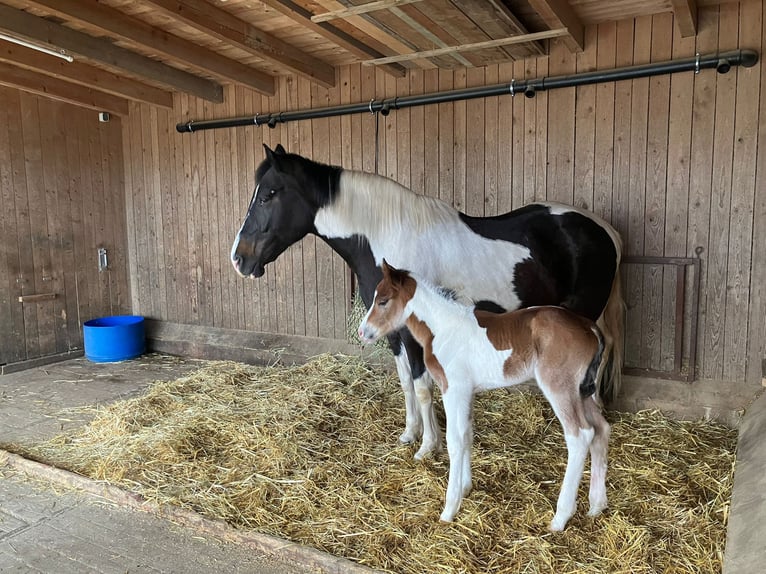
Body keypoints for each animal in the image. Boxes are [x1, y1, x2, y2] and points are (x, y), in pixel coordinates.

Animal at [232, 145, 624, 464]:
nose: (238, 259)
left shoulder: (415, 334)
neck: (386, 239)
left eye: (269, 194)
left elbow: (423, 386)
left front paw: (428, 446)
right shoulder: (392, 332)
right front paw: (409, 434)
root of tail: (606, 231)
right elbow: (406, 382)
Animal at [360, 264, 612, 532]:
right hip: (582, 392)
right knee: (601, 429)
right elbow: (467, 434)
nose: (363, 332)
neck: (443, 328)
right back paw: (596, 506)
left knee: (580, 435)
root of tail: (590, 327)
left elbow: (454, 441)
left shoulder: (454, 389)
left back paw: (560, 517)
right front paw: (465, 488)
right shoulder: (467, 392)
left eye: (383, 301)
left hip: (560, 388)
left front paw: (450, 508)